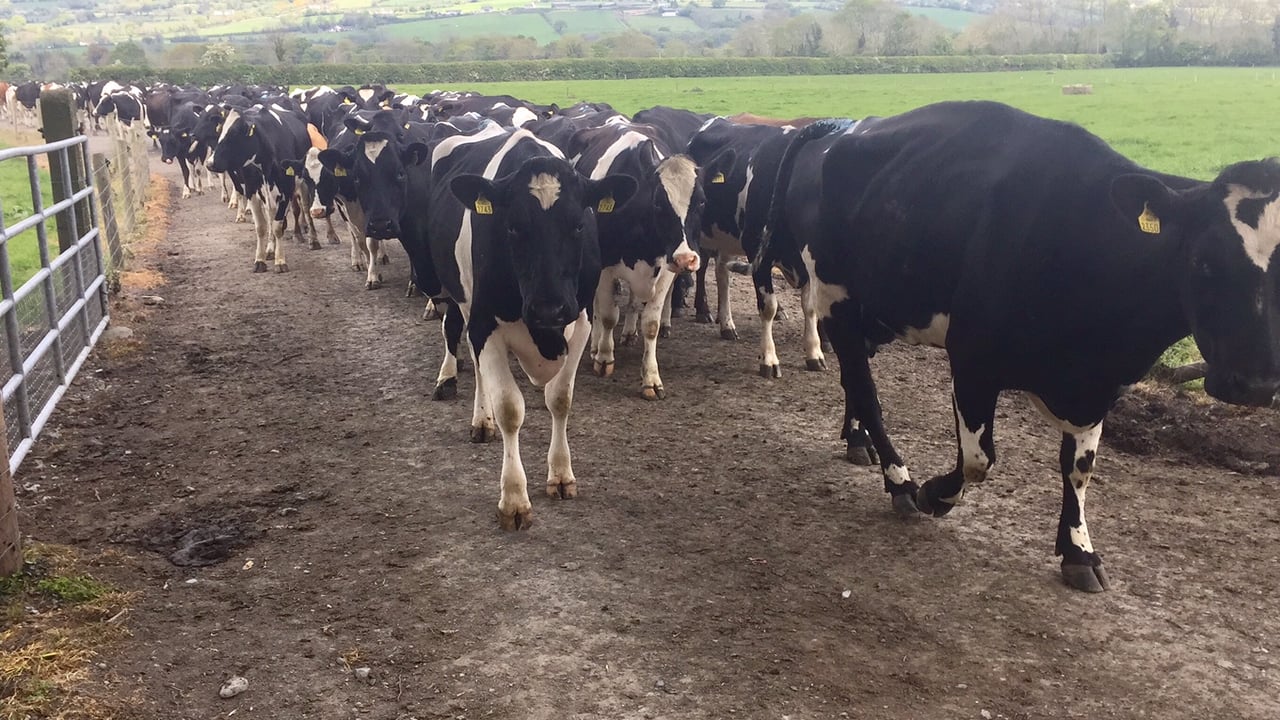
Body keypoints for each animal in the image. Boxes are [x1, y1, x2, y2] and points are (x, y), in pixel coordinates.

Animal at [571, 122, 732, 399]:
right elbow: (607, 315)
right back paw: (596, 346)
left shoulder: (665, 268)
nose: (686, 258)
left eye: (701, 200)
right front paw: (603, 357)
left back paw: (629, 332)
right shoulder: (604, 267)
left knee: (635, 303)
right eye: (658, 202)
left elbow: (651, 324)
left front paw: (651, 379)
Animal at [765, 100, 1280, 593]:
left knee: (854, 380)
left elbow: (1079, 468)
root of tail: (841, 128)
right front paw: (935, 493)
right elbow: (978, 460)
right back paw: (900, 481)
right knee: (865, 390)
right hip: (836, 297)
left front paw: (1079, 551)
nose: (1254, 383)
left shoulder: (1101, 383)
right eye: (1203, 260)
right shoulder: (973, 359)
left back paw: (857, 441)